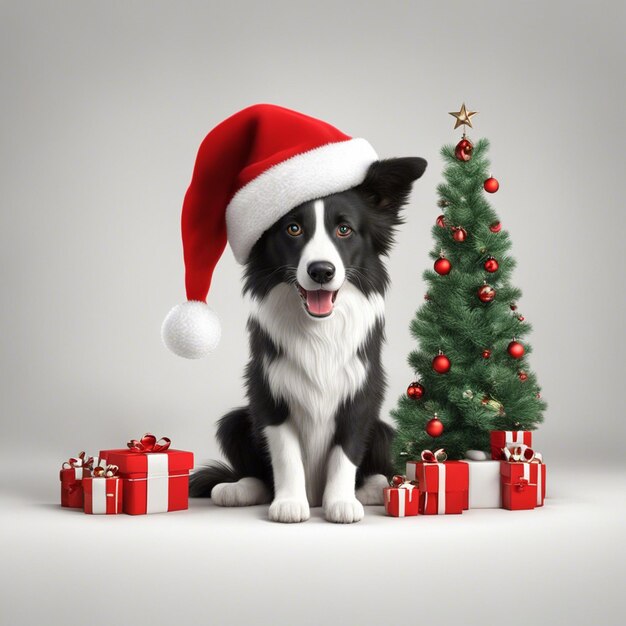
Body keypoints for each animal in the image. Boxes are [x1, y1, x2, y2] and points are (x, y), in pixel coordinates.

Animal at [188, 156, 426, 520]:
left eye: (344, 229)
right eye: (293, 229)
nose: (321, 271)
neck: (319, 330)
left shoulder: (361, 392)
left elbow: (346, 453)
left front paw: (341, 503)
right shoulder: (268, 392)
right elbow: (286, 455)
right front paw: (288, 504)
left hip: (385, 431)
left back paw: (374, 487)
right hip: (234, 422)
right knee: (257, 473)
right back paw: (236, 488)